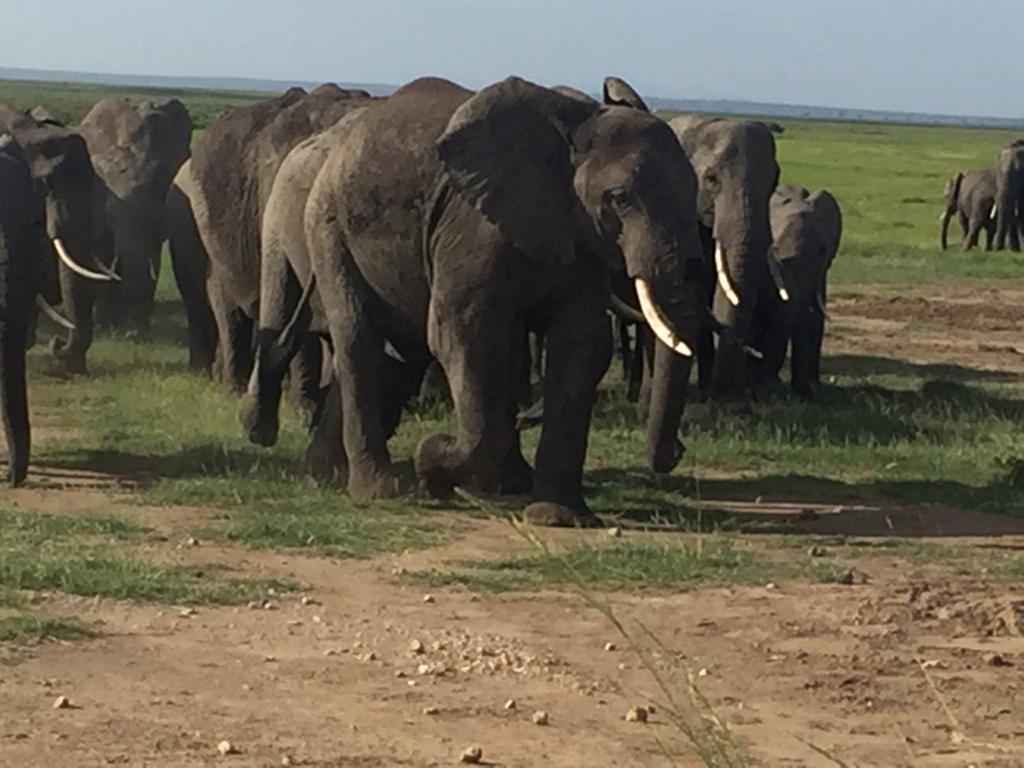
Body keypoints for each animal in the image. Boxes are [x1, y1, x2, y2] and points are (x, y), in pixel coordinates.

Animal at [78, 98, 193, 330]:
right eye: (111, 218)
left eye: (154, 215)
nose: (132, 332)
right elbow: (105, 250)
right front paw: (105, 327)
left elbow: (151, 255)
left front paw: (137, 331)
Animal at [293, 75, 704, 526]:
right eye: (621, 198)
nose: (678, 452)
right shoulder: (473, 228)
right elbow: (462, 333)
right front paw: (432, 461)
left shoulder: (578, 240)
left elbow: (580, 344)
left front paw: (558, 517)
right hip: (327, 225)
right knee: (358, 337)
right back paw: (382, 488)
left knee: (402, 352)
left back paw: (326, 473)